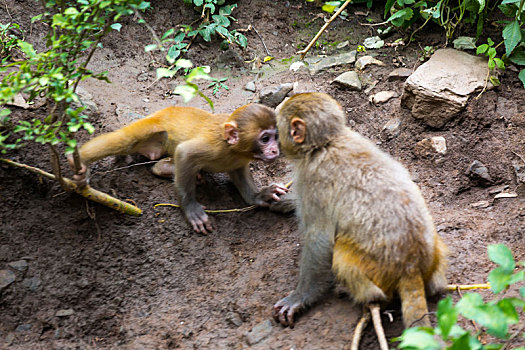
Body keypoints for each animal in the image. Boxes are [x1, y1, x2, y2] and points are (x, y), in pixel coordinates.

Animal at [69, 105, 286, 234]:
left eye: (275, 136)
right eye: (265, 138)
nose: (275, 149)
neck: (232, 147)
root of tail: (162, 111)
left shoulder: (237, 159)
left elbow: (240, 175)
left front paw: (260, 195)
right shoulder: (213, 146)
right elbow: (184, 153)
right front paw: (191, 208)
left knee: (155, 162)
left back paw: (164, 168)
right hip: (152, 127)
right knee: (125, 139)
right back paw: (80, 161)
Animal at [272, 92, 448, 328]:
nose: (276, 141)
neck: (327, 143)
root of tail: (411, 267)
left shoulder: (312, 180)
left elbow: (319, 240)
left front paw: (300, 298)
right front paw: (278, 199)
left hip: (375, 268)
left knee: (340, 253)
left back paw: (365, 296)